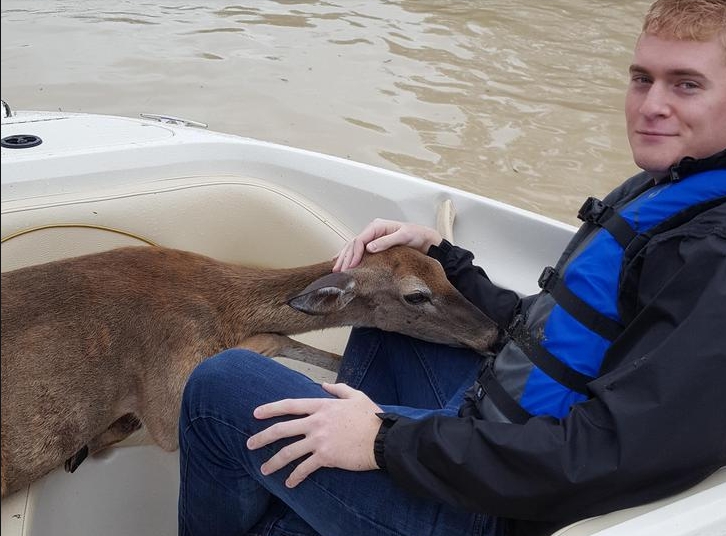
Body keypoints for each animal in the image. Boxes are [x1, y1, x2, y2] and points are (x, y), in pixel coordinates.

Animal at [0, 246, 500, 498]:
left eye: (442, 270)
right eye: (416, 295)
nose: (493, 333)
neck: (224, 305)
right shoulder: (168, 391)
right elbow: (274, 339)